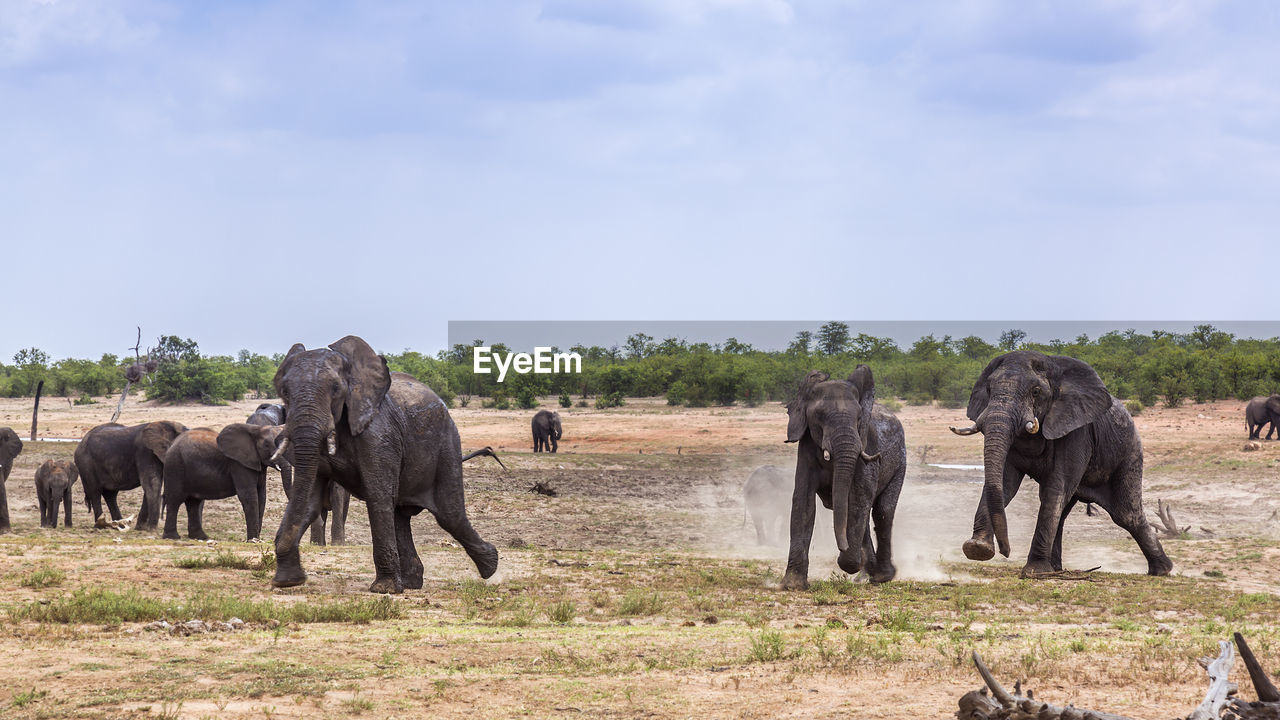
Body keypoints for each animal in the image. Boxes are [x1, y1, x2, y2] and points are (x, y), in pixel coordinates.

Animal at [271, 333, 499, 591]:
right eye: (284, 392)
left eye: (336, 389)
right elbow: (310, 501)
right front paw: (287, 581)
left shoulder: (379, 435)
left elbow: (378, 495)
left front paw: (384, 590)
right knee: (401, 515)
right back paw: (411, 582)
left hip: (447, 445)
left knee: (450, 514)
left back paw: (492, 568)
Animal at [778, 366, 911, 586]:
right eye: (819, 416)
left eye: (859, 418)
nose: (841, 548)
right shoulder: (806, 449)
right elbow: (803, 501)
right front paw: (792, 585)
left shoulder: (865, 446)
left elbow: (859, 498)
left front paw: (849, 563)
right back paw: (867, 573)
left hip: (900, 462)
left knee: (882, 511)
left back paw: (881, 576)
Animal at [947, 351, 1172, 573]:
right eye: (988, 389)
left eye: (1036, 391)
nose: (1006, 551)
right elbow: (1005, 483)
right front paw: (978, 549)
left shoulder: (1077, 431)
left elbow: (1057, 487)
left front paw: (1034, 571)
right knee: (1064, 511)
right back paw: (1055, 569)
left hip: (1129, 452)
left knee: (1127, 514)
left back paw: (1163, 570)